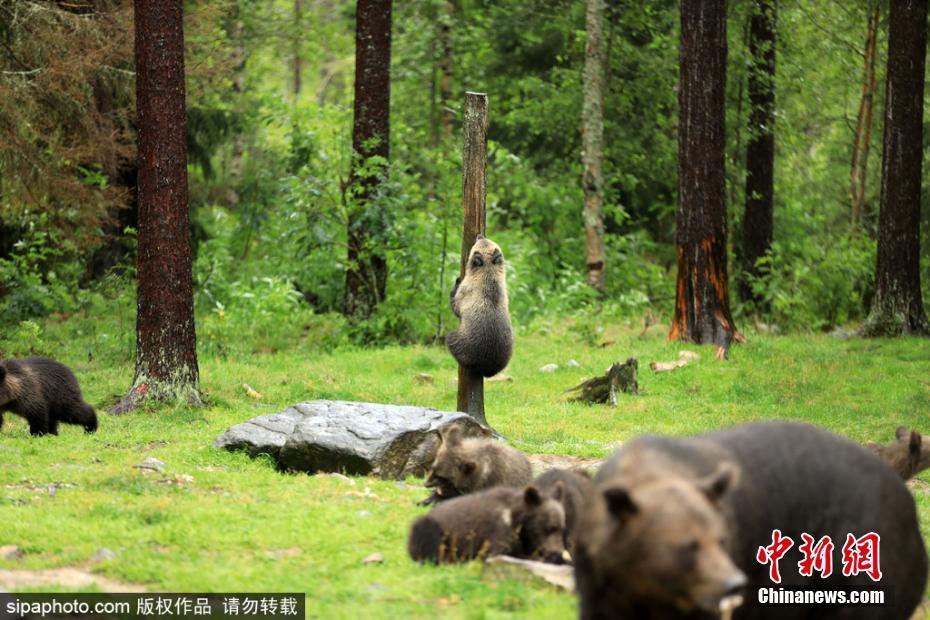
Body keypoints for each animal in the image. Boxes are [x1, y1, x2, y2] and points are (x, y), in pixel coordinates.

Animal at [410, 484, 568, 568]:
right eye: (550, 527)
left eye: (561, 528)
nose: (556, 551)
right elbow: (501, 554)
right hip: (435, 529)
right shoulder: (498, 531)